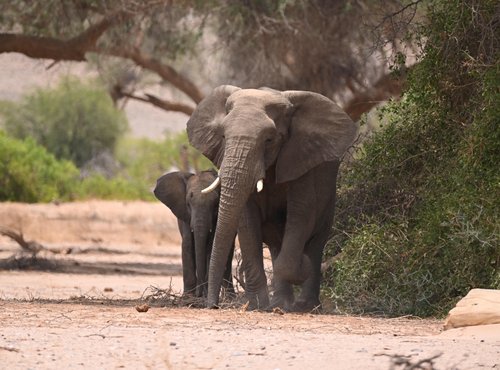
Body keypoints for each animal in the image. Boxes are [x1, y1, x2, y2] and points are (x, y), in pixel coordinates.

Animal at [186, 85, 358, 310]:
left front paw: (304, 265)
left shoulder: (301, 159)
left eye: (269, 139)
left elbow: (301, 214)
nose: (212, 306)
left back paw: (305, 305)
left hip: (330, 195)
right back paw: (280, 303)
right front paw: (256, 305)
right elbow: (247, 221)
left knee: (316, 239)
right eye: (223, 137)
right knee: (277, 245)